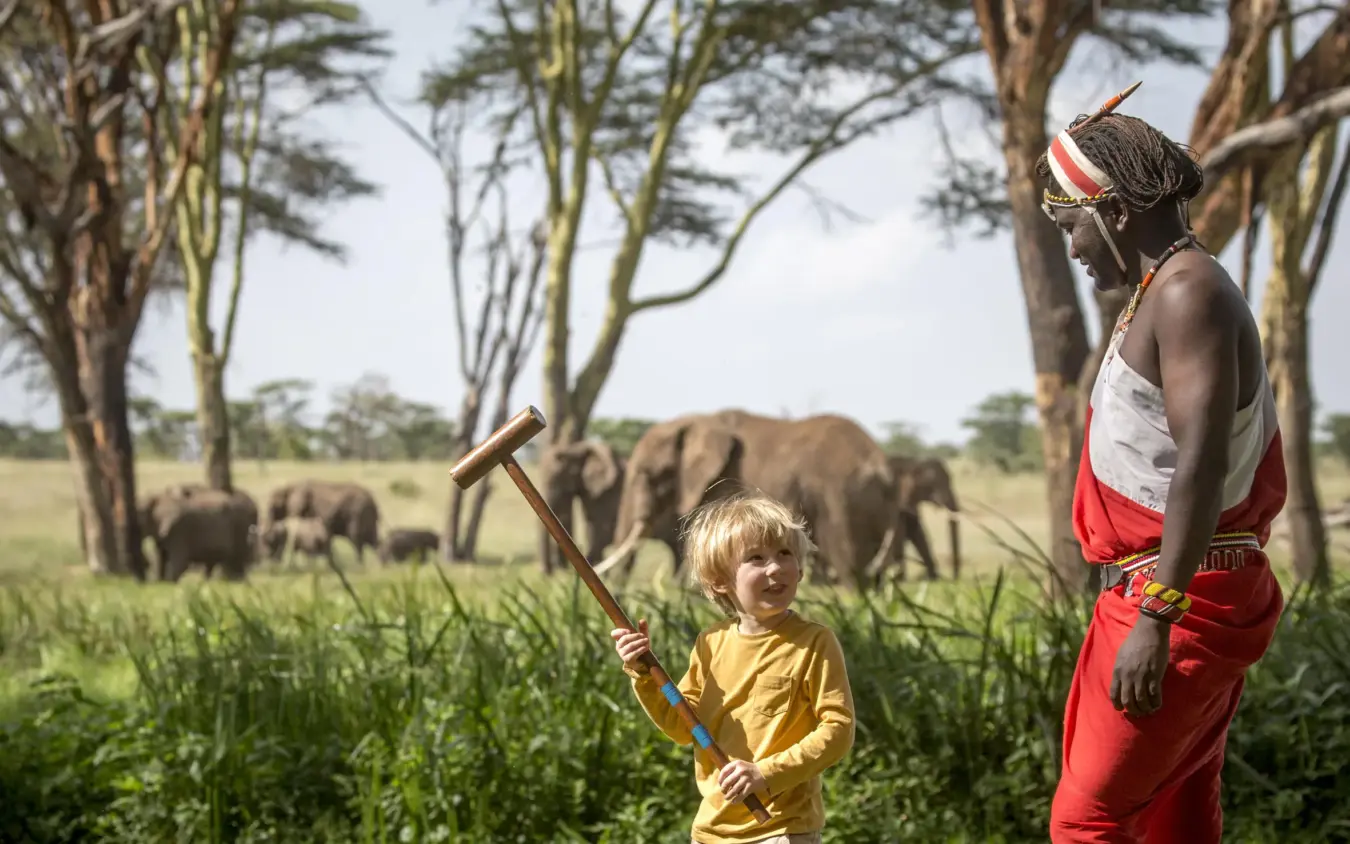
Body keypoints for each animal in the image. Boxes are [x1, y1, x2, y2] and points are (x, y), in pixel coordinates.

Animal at [536, 440, 625, 573]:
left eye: (557, 478)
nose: (547, 573)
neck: (577, 448)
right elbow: (591, 526)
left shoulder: (609, 491)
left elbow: (602, 528)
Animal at [593, 410, 899, 589]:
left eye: (648, 474)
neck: (696, 421)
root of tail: (880, 464)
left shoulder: (724, 482)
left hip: (840, 499)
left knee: (849, 565)